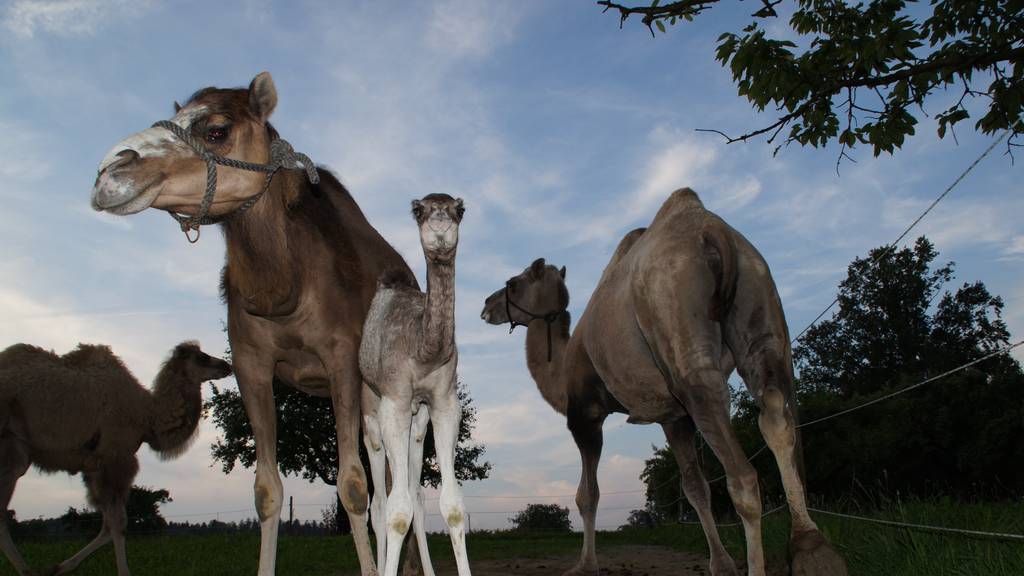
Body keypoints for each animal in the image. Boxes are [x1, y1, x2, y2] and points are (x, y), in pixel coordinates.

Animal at [0, 340, 230, 573]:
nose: (226, 366)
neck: (147, 417)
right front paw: (124, 572)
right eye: (202, 357)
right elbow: (119, 522)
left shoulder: (94, 467)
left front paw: (60, 568)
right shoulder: (117, 457)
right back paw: (26, 571)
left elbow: (107, 525)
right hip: (10, 447)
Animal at [89, 71, 415, 573]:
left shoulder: (341, 358)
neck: (286, 290)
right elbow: (267, 491)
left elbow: (353, 487)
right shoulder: (250, 363)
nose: (109, 173)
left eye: (216, 130)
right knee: (386, 487)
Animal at [360, 193, 471, 573]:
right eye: (418, 210)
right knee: (379, 505)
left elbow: (452, 505)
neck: (423, 351)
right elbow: (395, 513)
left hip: (417, 423)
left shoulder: (444, 402)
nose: (440, 224)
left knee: (417, 495)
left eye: (459, 209)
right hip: (371, 416)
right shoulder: (393, 402)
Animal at [479, 188, 847, 573]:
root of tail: (713, 230)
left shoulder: (585, 414)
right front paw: (721, 564)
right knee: (776, 410)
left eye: (513, 284)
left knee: (741, 472)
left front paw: (585, 564)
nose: (486, 304)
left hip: (677, 321)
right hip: (762, 313)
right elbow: (695, 486)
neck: (562, 365)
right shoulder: (673, 416)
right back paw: (813, 548)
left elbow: (587, 495)